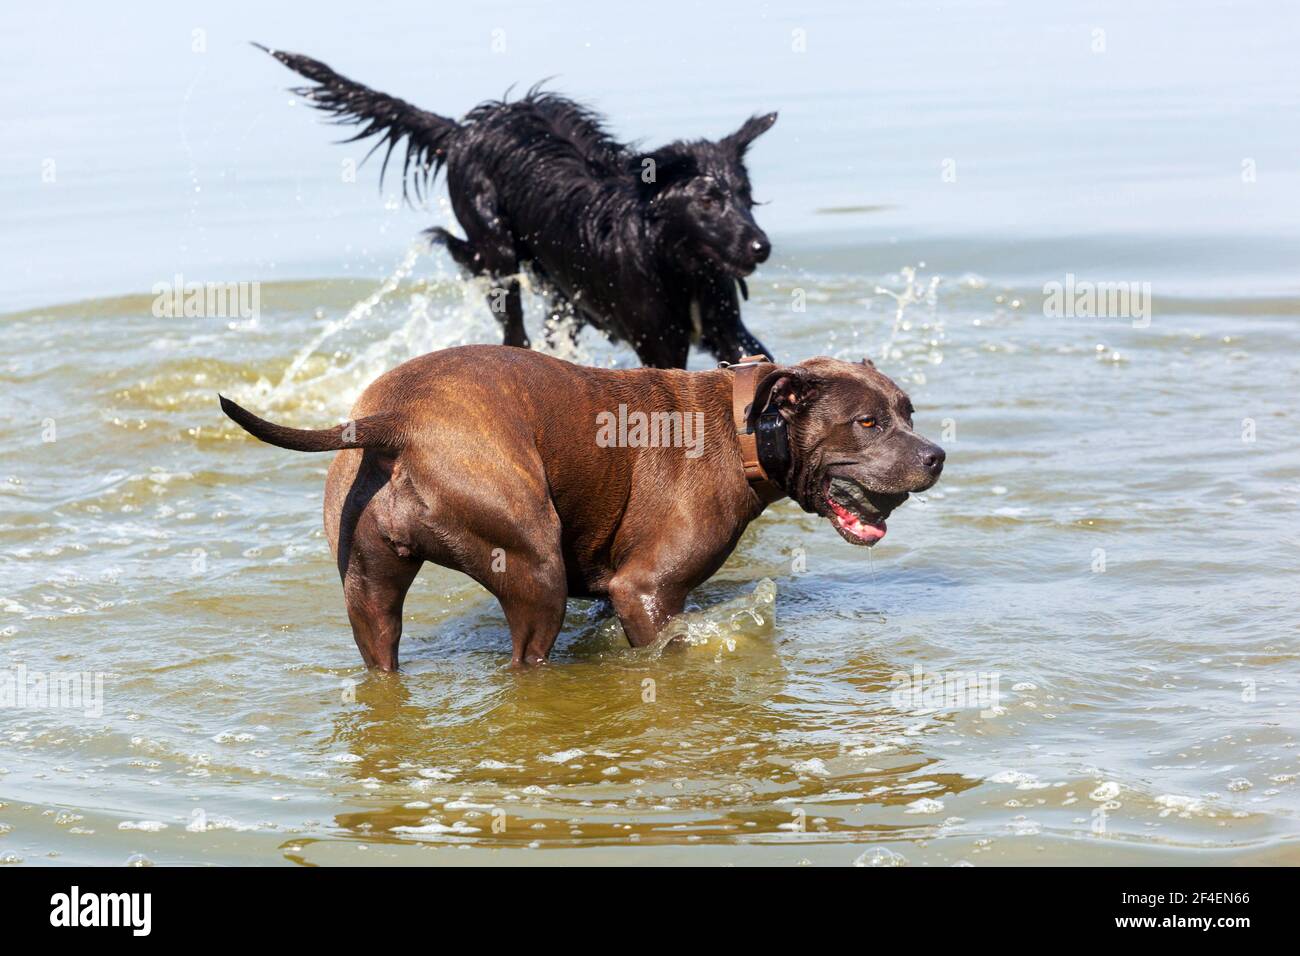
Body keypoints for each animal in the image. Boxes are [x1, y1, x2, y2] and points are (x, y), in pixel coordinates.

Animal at [218, 348, 941, 671]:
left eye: (908, 411)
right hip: (535, 575)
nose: (936, 455)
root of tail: (397, 421)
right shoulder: (647, 593)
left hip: (369, 596)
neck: (744, 427)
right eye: (868, 422)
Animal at [258, 47, 774, 369]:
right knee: (510, 326)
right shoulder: (658, 343)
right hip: (498, 251)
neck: (674, 259)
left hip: (560, 293)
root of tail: (462, 132)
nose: (761, 247)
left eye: (746, 195)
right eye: (708, 200)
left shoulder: (726, 328)